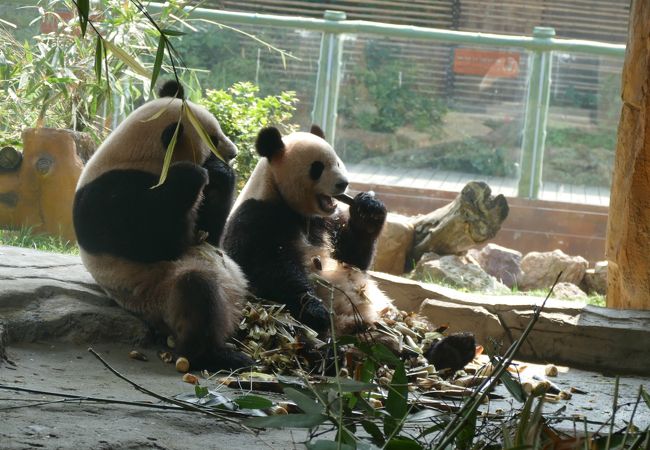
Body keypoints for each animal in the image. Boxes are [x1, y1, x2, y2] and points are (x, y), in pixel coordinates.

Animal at [72, 80, 251, 370]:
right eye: (212, 138)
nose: (233, 153)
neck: (140, 155)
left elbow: (209, 235)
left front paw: (221, 173)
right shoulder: (109, 194)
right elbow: (154, 241)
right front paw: (194, 174)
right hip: (155, 295)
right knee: (196, 290)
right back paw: (214, 354)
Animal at [223, 125, 476, 370]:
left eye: (337, 162)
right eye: (317, 167)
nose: (343, 183)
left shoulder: (328, 221)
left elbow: (353, 258)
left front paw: (369, 211)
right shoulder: (256, 217)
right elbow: (266, 268)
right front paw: (315, 309)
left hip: (390, 315)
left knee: (415, 328)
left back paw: (452, 348)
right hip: (289, 323)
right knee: (299, 334)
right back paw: (328, 355)